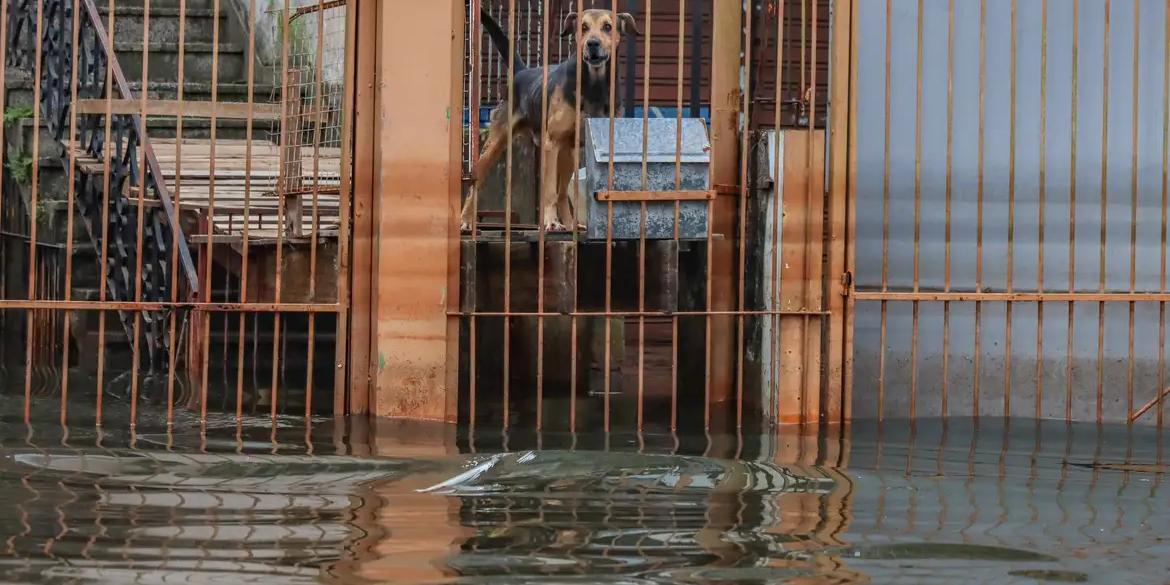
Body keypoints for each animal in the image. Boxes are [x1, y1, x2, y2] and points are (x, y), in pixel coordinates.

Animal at [458, 6, 641, 231]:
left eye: (608, 26)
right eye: (583, 27)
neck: (593, 85)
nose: (592, 43)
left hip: (568, 153)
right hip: (495, 144)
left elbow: (562, 192)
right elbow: (549, 192)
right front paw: (551, 221)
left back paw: (571, 225)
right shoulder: (551, 143)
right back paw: (466, 220)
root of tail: (522, 72)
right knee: (476, 183)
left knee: (563, 193)